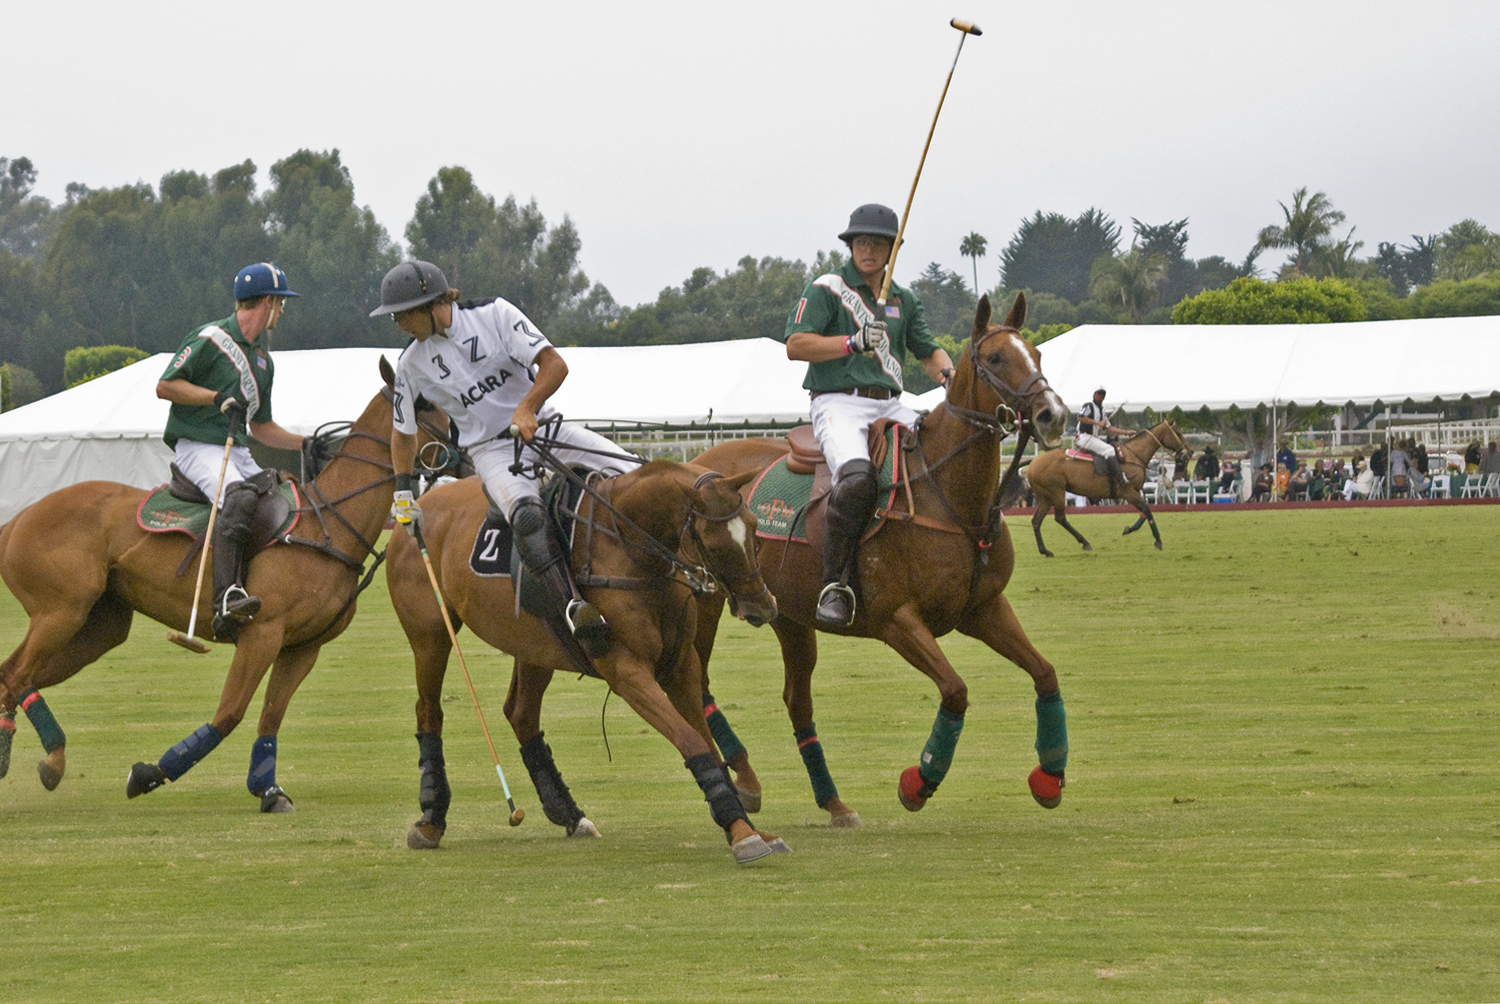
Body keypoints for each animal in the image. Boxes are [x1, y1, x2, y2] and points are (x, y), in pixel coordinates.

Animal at [1, 355, 456, 810]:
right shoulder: (262, 633)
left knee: (12, 675)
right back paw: (48, 760)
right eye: (424, 406)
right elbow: (229, 714)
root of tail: (16, 520)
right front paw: (148, 773)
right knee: (19, 674)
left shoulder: (302, 647)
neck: (328, 523)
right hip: (61, 611)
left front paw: (269, 791)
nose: (462, 448)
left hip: (99, 626)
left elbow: (270, 717)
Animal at [381, 459, 792, 864]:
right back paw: (430, 820)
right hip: (430, 636)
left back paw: (570, 815)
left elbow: (706, 741)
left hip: (535, 645)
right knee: (429, 711)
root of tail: (414, 512)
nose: (763, 607)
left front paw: (753, 828)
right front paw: (741, 832)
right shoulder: (627, 672)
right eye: (713, 544)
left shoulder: (681, 665)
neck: (634, 553)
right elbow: (692, 741)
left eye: (754, 530)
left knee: (521, 713)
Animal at [693, 294, 1080, 828]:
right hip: (704, 601)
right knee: (698, 681)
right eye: (997, 358)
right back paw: (744, 779)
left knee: (797, 701)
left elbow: (1045, 673)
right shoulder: (896, 619)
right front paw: (920, 782)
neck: (950, 497)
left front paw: (1050, 776)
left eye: (1038, 355)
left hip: (788, 613)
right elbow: (955, 689)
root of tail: (689, 464)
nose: (1052, 415)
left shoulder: (983, 609)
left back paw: (833, 803)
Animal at [1026, 414, 1188, 555]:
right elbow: (1147, 509)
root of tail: (1033, 463)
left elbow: (1145, 510)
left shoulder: (1137, 490)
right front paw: (1158, 541)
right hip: (1057, 491)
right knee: (1060, 518)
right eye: (1177, 432)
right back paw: (1084, 542)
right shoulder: (1128, 492)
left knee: (1036, 520)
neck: (1132, 456)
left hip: (1045, 496)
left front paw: (1129, 529)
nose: (1188, 451)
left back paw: (1045, 551)